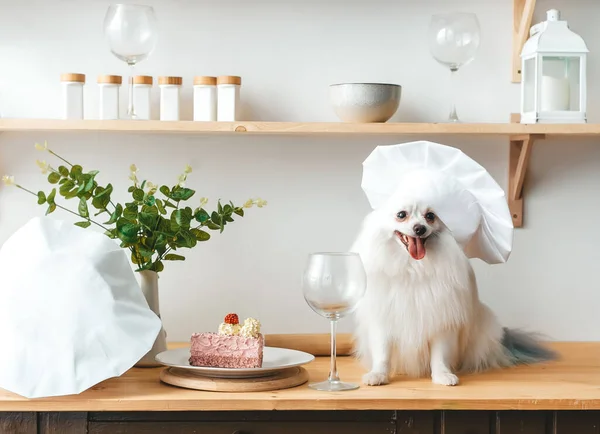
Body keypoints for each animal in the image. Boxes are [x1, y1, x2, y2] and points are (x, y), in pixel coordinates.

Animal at [350, 186, 556, 386]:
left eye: (430, 216)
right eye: (401, 215)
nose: (420, 228)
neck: (414, 268)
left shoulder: (442, 320)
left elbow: (439, 354)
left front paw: (442, 375)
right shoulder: (384, 320)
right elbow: (382, 354)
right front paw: (378, 374)